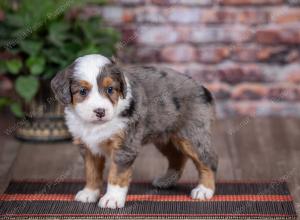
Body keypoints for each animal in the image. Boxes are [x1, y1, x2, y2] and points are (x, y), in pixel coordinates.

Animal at [51, 54, 218, 209]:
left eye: (110, 89)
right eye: (82, 91)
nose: (100, 111)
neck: (96, 125)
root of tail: (201, 86)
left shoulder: (125, 145)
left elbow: (117, 174)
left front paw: (112, 199)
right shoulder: (88, 147)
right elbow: (91, 171)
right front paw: (89, 193)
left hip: (192, 134)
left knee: (208, 160)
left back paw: (204, 190)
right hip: (164, 136)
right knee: (177, 157)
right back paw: (167, 180)